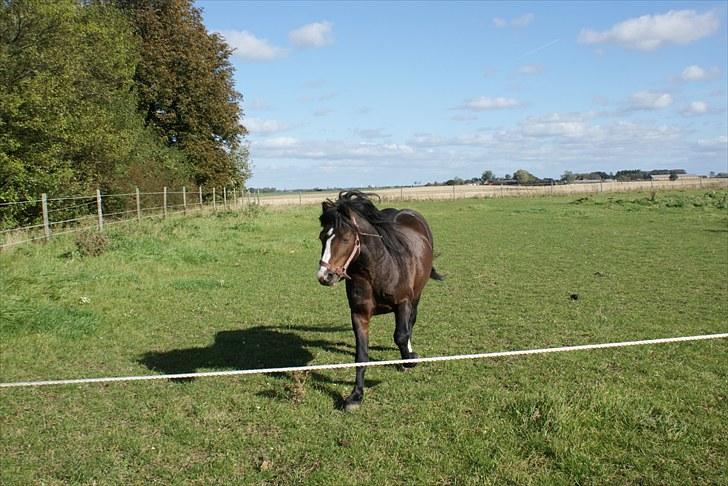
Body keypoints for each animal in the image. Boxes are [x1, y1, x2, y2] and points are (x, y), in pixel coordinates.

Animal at [318, 190, 444, 410]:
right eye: (322, 237)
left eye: (346, 238)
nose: (325, 276)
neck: (378, 270)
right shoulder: (359, 314)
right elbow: (361, 354)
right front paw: (355, 396)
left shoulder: (403, 303)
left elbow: (401, 335)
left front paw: (410, 359)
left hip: (416, 296)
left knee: (411, 322)